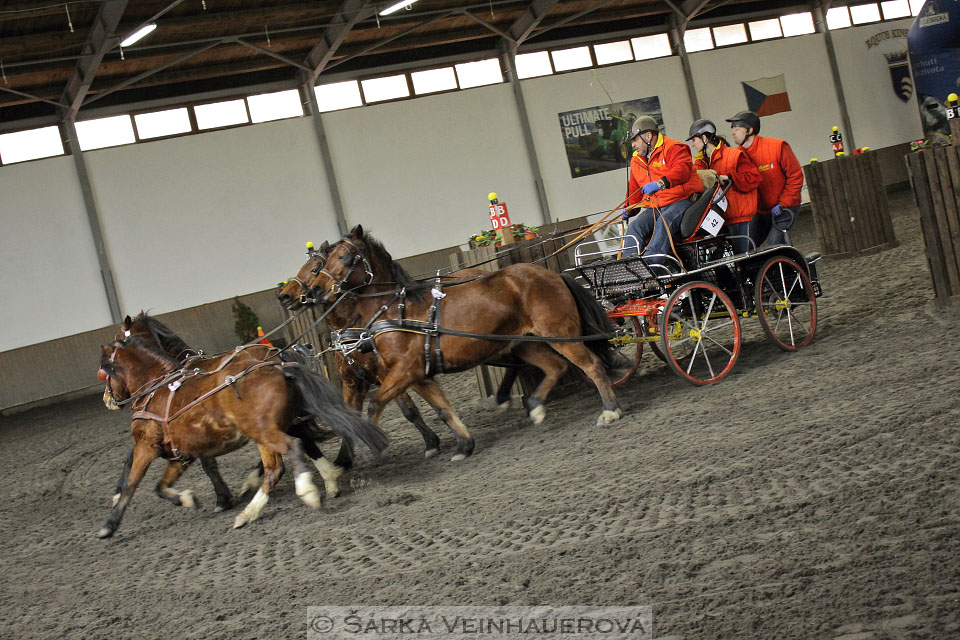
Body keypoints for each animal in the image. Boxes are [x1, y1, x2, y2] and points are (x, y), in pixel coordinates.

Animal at [94, 332, 386, 536]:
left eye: (104, 371)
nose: (107, 400)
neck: (156, 389)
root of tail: (279, 366)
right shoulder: (181, 454)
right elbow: (161, 486)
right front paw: (189, 499)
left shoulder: (147, 446)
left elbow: (133, 484)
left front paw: (109, 525)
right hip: (275, 426)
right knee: (300, 447)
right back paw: (327, 481)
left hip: (261, 431)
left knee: (285, 457)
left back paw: (296, 494)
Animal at [300, 224, 628, 460]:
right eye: (322, 262)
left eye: (343, 257)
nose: (314, 291)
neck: (395, 310)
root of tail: (551, 274)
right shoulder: (417, 375)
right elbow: (442, 409)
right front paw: (464, 445)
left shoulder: (404, 370)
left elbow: (375, 404)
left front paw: (376, 445)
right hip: (525, 342)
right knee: (554, 367)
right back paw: (534, 406)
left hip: (558, 334)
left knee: (592, 365)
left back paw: (610, 410)